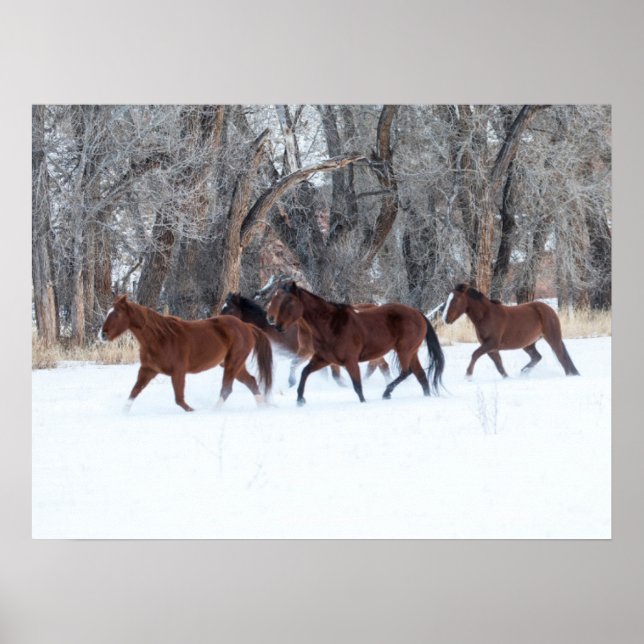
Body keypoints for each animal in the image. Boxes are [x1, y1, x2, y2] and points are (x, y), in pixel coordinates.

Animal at [99, 295, 273, 412]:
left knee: (227, 389)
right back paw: (262, 407)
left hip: (233, 362)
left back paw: (213, 411)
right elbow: (134, 392)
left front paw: (194, 411)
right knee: (251, 382)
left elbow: (179, 400)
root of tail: (246, 326)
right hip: (234, 364)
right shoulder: (148, 370)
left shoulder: (178, 372)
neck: (159, 338)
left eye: (117, 314)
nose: (102, 335)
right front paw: (123, 413)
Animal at [267, 282, 445, 405]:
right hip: (411, 352)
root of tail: (418, 314)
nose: (275, 323)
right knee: (421, 376)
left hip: (404, 350)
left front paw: (363, 402)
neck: (330, 325)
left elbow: (357, 386)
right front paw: (300, 399)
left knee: (406, 372)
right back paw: (424, 396)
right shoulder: (323, 359)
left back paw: (386, 393)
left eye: (289, 301)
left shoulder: (350, 361)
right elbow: (304, 372)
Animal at [441, 283, 580, 378]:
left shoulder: (491, 343)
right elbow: (499, 365)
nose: (445, 319)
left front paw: (468, 376)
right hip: (528, 344)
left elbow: (475, 354)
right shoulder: (491, 348)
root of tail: (549, 309)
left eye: (455, 300)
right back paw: (523, 372)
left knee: (562, 358)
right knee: (537, 357)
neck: (486, 315)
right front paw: (507, 378)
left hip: (552, 338)